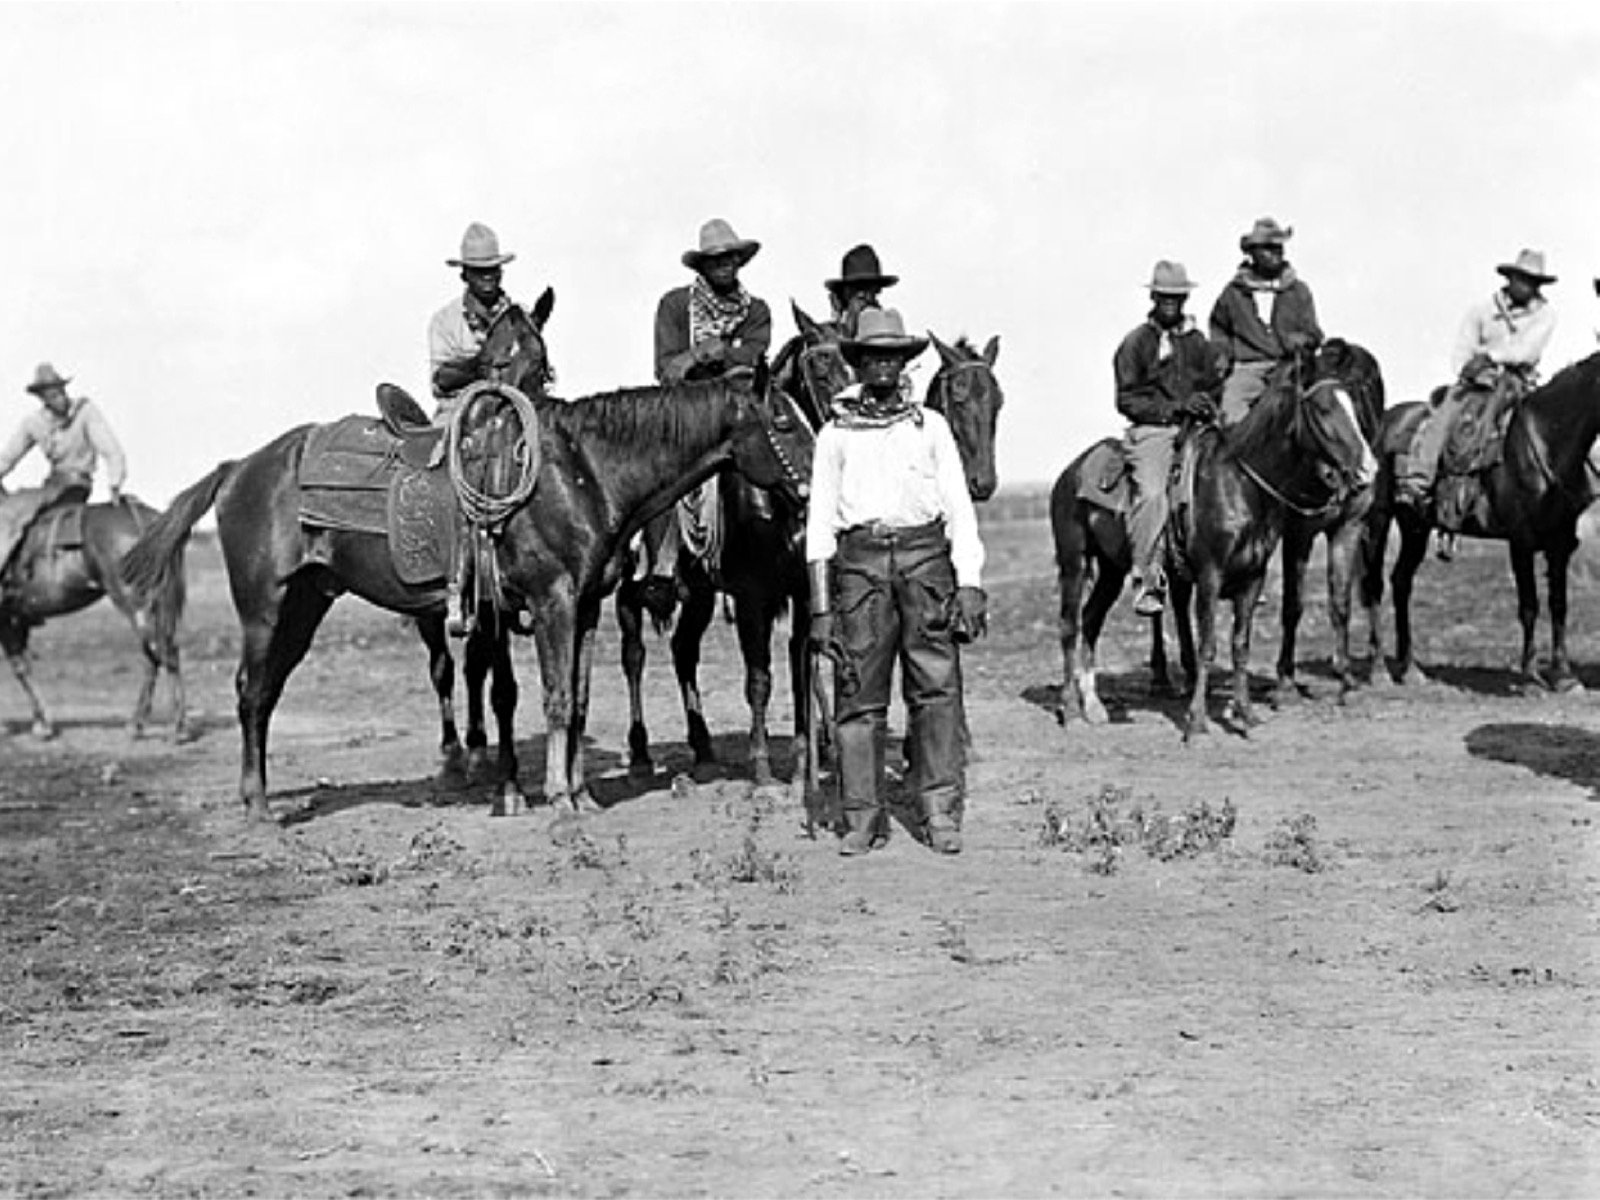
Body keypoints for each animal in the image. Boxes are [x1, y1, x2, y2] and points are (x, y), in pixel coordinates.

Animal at [2, 499, 187, 742]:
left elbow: (20, 668)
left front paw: (41, 724)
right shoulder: (15, 620)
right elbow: (23, 667)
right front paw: (41, 723)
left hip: (136, 603)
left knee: (163, 651)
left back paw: (176, 728)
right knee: (155, 654)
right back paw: (137, 724)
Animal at [121, 361, 812, 825]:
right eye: (782, 419)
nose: (814, 487)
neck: (581, 472)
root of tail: (238, 468)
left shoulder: (586, 606)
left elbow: (580, 699)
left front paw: (581, 793)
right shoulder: (553, 600)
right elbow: (556, 699)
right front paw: (558, 801)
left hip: (306, 604)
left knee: (264, 694)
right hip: (265, 609)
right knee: (250, 693)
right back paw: (259, 806)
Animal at [611, 302, 998, 790]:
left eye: (997, 402)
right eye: (820, 363)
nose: (982, 483)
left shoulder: (804, 590)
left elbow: (801, 666)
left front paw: (801, 761)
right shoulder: (752, 596)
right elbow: (760, 677)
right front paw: (762, 768)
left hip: (699, 593)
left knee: (683, 650)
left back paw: (705, 752)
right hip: (636, 586)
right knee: (634, 651)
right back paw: (641, 755)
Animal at [1049, 352, 1376, 739]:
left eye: (1355, 406)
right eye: (1324, 409)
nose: (1368, 469)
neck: (1239, 484)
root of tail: (1070, 472)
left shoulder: (1252, 578)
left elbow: (1240, 645)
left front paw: (1245, 714)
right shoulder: (1209, 575)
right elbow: (1207, 645)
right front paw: (1196, 720)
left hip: (1111, 569)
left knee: (1091, 619)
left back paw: (1093, 706)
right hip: (1074, 561)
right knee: (1069, 625)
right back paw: (1069, 708)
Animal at [1356, 352, 1600, 691]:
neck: (1546, 441)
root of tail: (1383, 423)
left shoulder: (1560, 543)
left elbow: (1559, 605)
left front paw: (1564, 676)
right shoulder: (1520, 542)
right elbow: (1529, 606)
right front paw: (1529, 677)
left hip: (1415, 527)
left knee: (1401, 581)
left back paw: (1411, 669)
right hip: (1379, 519)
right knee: (1375, 585)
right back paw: (1379, 670)